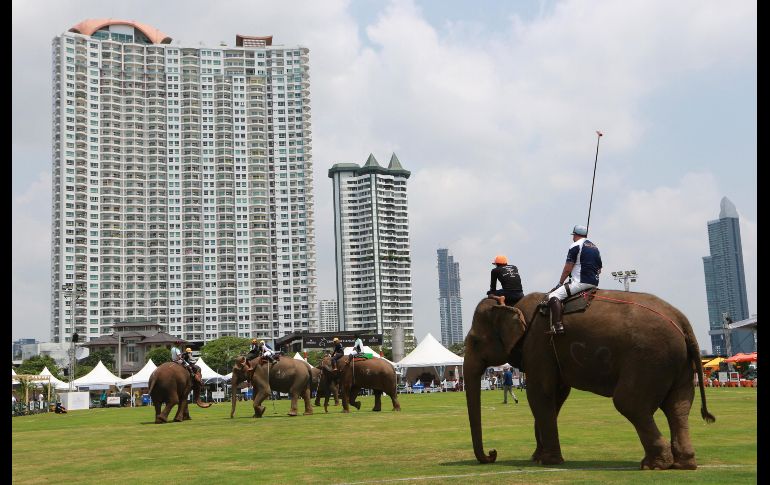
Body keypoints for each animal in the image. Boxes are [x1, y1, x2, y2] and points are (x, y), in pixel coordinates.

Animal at [464, 291, 715, 470]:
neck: (515, 305)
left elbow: (540, 393)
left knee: (630, 403)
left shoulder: (538, 344)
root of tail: (681, 320)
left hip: (649, 358)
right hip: (678, 364)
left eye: (474, 341)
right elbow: (556, 396)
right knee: (678, 407)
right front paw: (537, 457)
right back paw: (683, 463)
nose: (492, 454)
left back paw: (653, 465)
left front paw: (547, 461)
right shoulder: (548, 352)